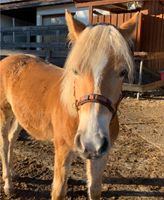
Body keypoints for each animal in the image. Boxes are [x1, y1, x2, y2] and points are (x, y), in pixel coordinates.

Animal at [0, 11, 136, 200]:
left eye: (123, 72)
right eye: (76, 70)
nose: (91, 141)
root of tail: (8, 59)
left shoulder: (101, 156)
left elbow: (95, 189)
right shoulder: (63, 151)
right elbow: (58, 191)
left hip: (20, 116)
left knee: (12, 138)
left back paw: (12, 174)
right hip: (4, 114)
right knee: (4, 143)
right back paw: (8, 184)